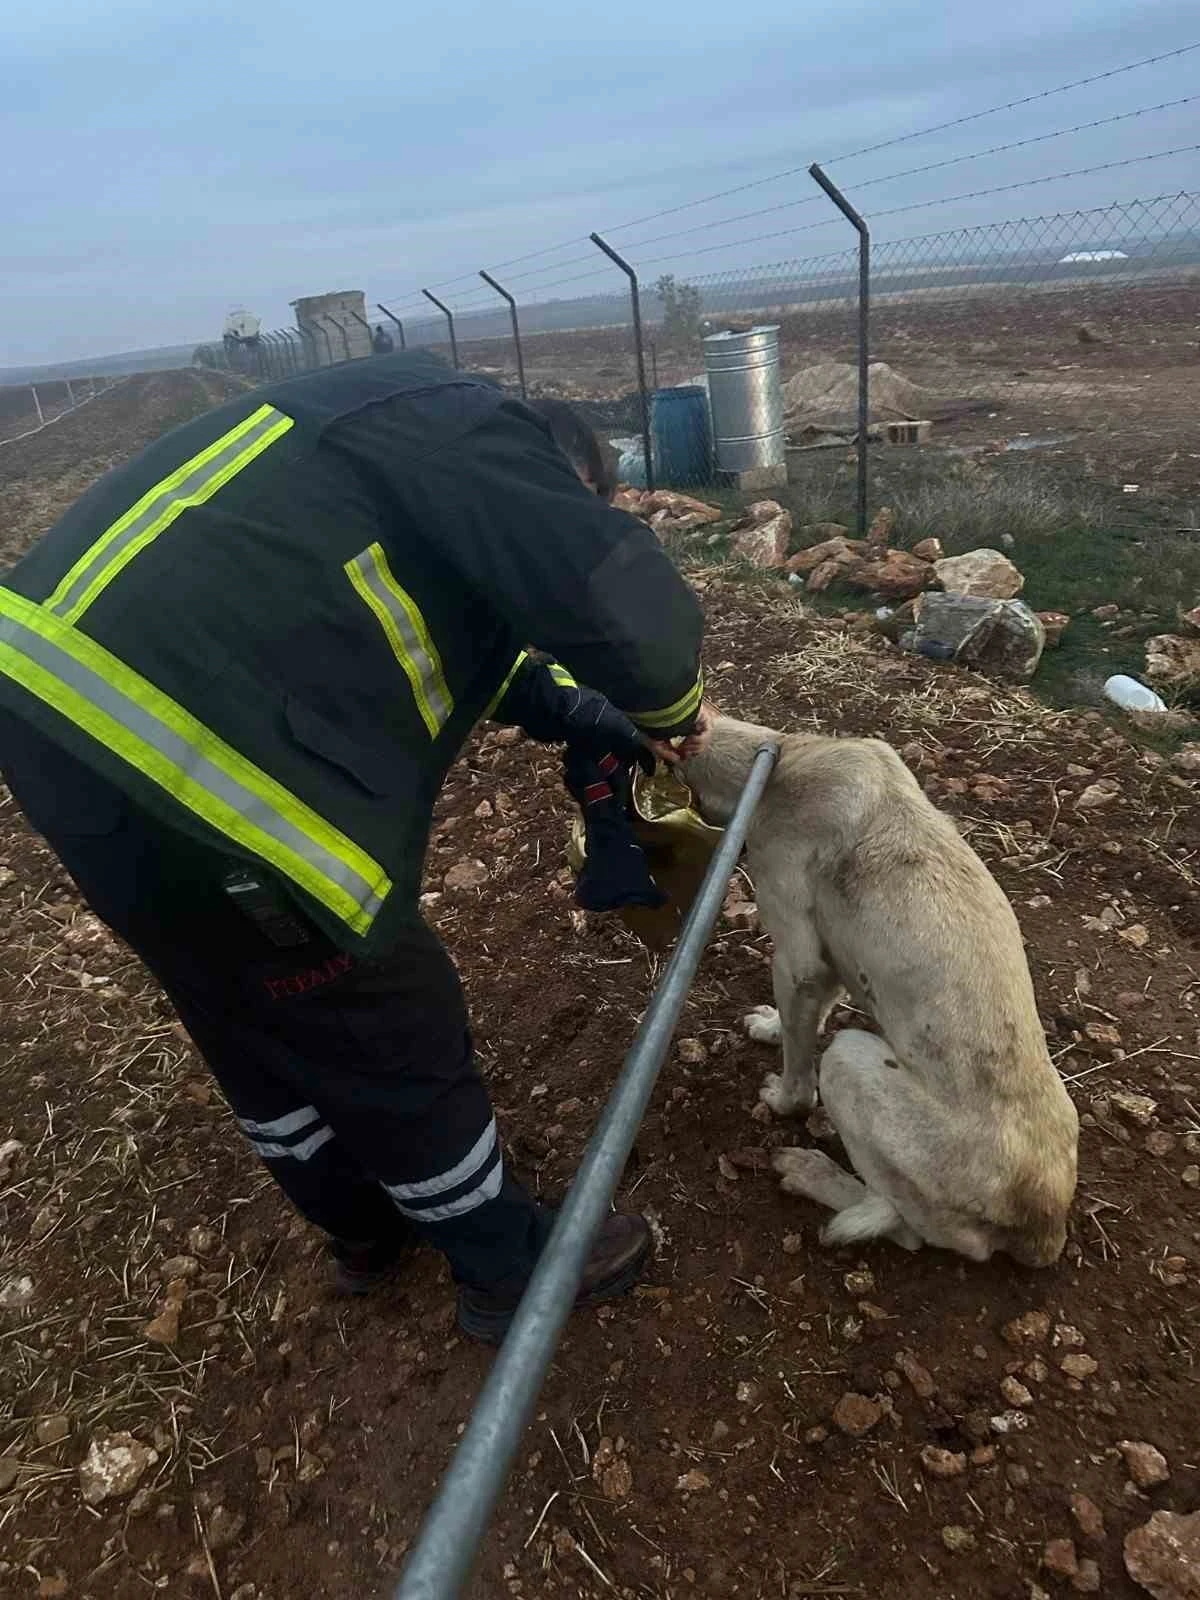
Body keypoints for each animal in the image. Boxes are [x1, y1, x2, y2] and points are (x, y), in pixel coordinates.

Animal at [681, 713, 1088, 1260]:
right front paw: (769, 1026)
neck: (777, 763)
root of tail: (1044, 1227)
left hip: (848, 1060)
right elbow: (804, 1017)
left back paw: (810, 1172)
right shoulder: (831, 959)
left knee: (903, 1229)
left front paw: (782, 1100)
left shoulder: (796, 959)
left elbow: (798, 1076)